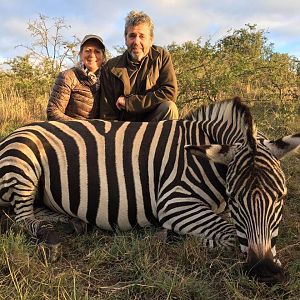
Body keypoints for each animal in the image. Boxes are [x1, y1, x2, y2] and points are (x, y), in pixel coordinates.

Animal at [0, 98, 298, 284]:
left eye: (281, 198)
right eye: (236, 200)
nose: (265, 272)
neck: (206, 161)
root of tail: (14, 133)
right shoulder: (174, 202)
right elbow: (228, 234)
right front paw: (172, 237)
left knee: (36, 212)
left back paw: (71, 222)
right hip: (23, 161)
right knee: (22, 220)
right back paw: (51, 238)